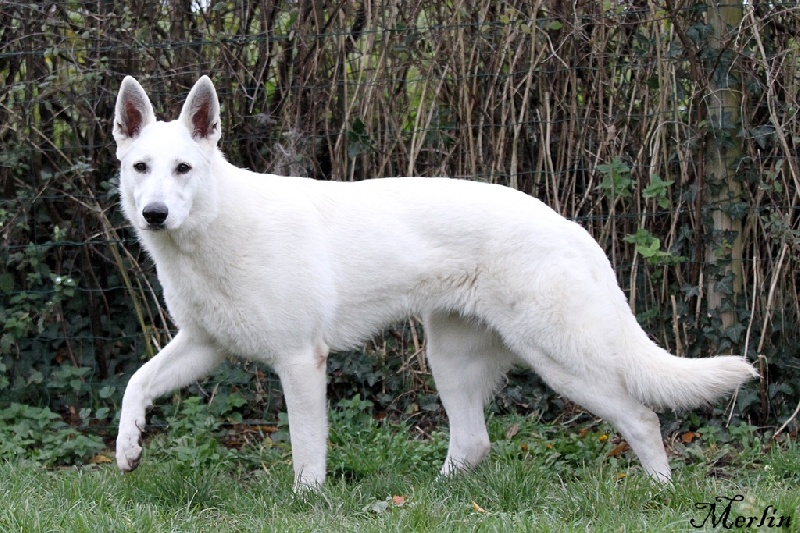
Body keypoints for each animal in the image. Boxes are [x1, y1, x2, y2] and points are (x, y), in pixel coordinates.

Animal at [112, 77, 756, 488]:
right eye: (141, 167)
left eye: (183, 169)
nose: (154, 215)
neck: (212, 225)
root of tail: (570, 227)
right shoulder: (203, 345)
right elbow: (134, 385)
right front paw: (128, 447)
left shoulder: (300, 360)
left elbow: (305, 450)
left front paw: (307, 501)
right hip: (449, 359)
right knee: (474, 443)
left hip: (561, 361)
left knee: (640, 417)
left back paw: (661, 492)